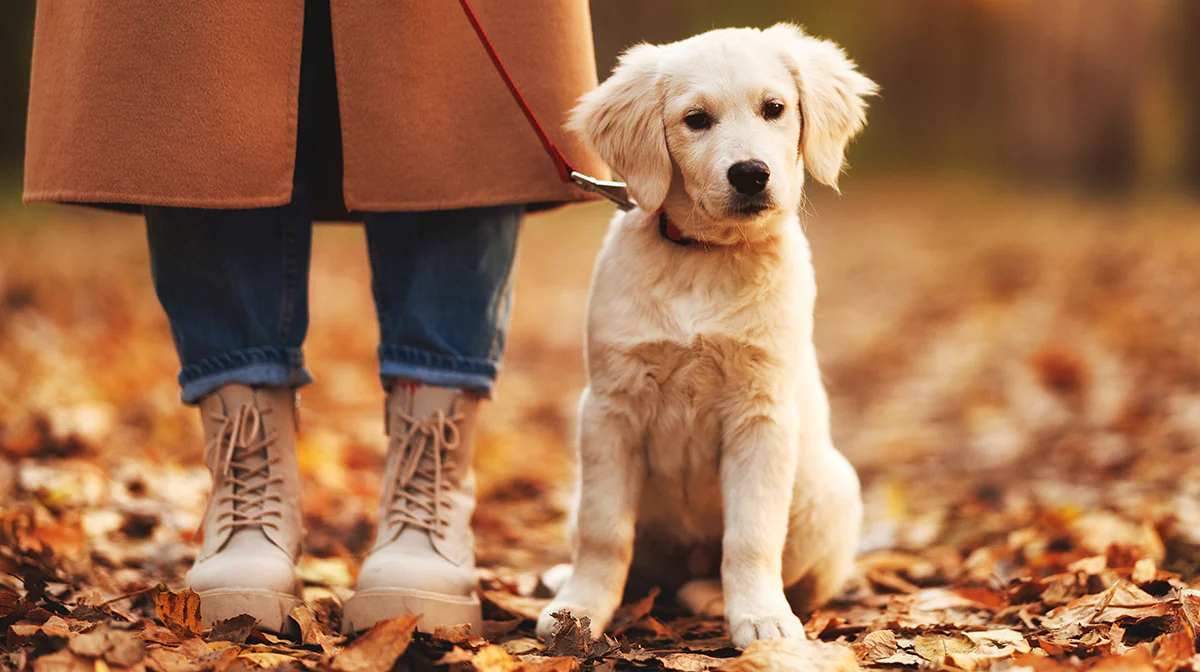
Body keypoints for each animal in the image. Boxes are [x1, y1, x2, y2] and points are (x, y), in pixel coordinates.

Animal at [540, 23, 878, 648]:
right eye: (696, 119)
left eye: (775, 109)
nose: (750, 173)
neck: (706, 257)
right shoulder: (609, 408)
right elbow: (603, 532)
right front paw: (579, 610)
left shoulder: (760, 413)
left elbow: (751, 536)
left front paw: (762, 620)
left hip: (832, 490)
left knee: (786, 575)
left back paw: (713, 597)